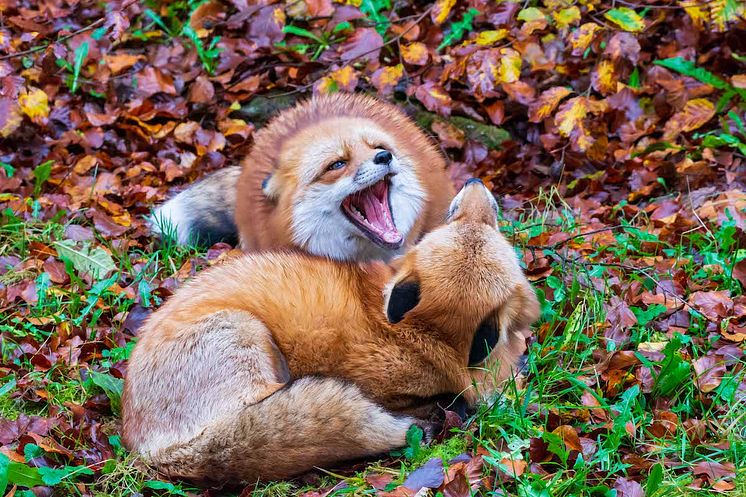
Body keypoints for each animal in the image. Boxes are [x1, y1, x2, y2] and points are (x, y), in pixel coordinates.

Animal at [125, 179, 536, 484]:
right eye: (457, 220)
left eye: (484, 222)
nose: (474, 182)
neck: (424, 331)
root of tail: (150, 449)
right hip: (248, 338)